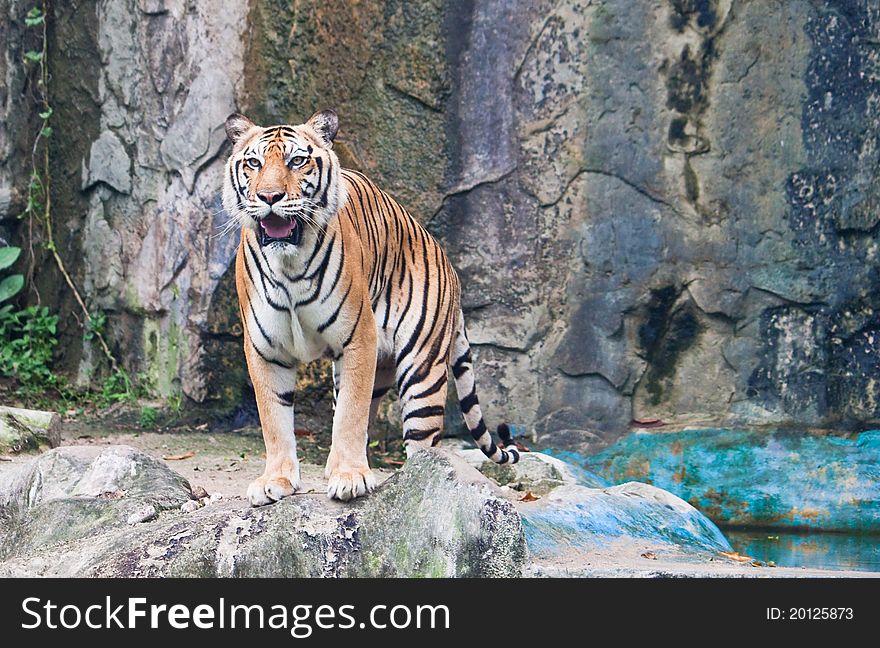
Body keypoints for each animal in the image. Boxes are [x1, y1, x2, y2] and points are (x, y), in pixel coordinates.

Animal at [223, 110, 520, 506]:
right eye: (253, 163)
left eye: (297, 161)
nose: (269, 196)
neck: (289, 265)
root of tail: (450, 264)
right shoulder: (264, 350)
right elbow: (274, 420)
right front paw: (276, 480)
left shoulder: (357, 338)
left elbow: (350, 414)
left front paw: (350, 478)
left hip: (422, 372)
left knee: (423, 446)